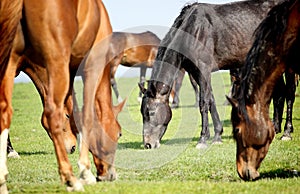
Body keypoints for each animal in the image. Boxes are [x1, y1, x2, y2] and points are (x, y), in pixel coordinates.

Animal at [0, 0, 124, 192]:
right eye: (119, 134)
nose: (110, 175)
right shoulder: (92, 67)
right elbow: (86, 116)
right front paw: (85, 172)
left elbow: (76, 114)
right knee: (52, 113)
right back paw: (70, 179)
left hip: (11, 59)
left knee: (4, 111)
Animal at [138, 0, 282, 149]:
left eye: (151, 112)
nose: (148, 144)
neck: (192, 31)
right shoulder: (197, 73)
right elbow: (211, 100)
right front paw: (217, 135)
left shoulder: (204, 70)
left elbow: (203, 103)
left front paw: (202, 139)